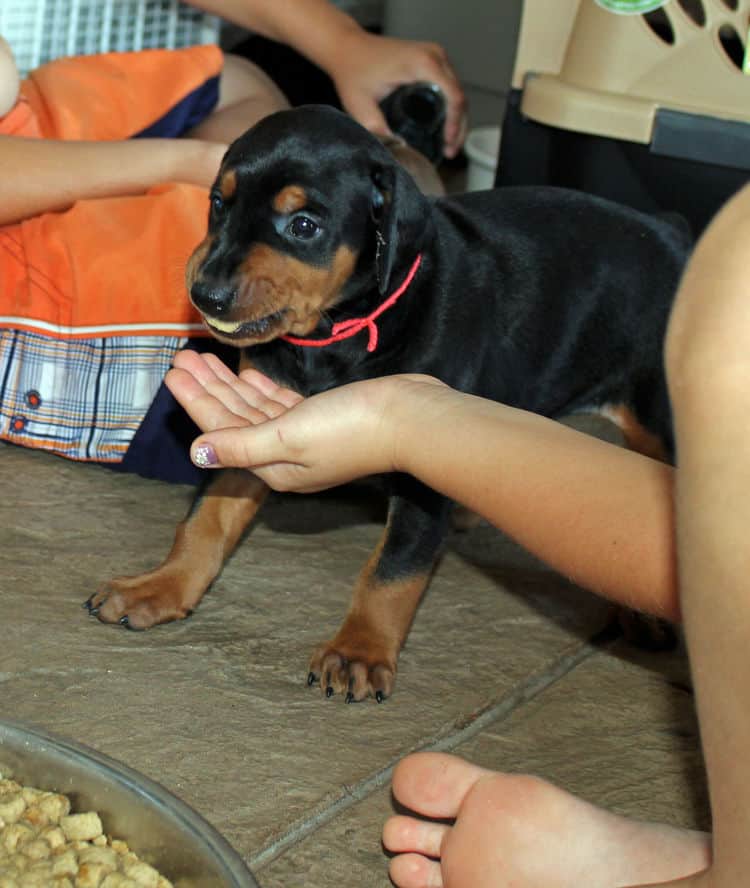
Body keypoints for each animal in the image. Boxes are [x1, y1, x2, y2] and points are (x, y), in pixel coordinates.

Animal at [88, 102, 692, 700]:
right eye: (219, 203)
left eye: (303, 226)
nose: (205, 294)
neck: (340, 334)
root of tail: (675, 235)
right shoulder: (250, 422)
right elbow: (207, 518)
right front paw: (161, 586)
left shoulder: (423, 470)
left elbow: (392, 570)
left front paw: (358, 651)